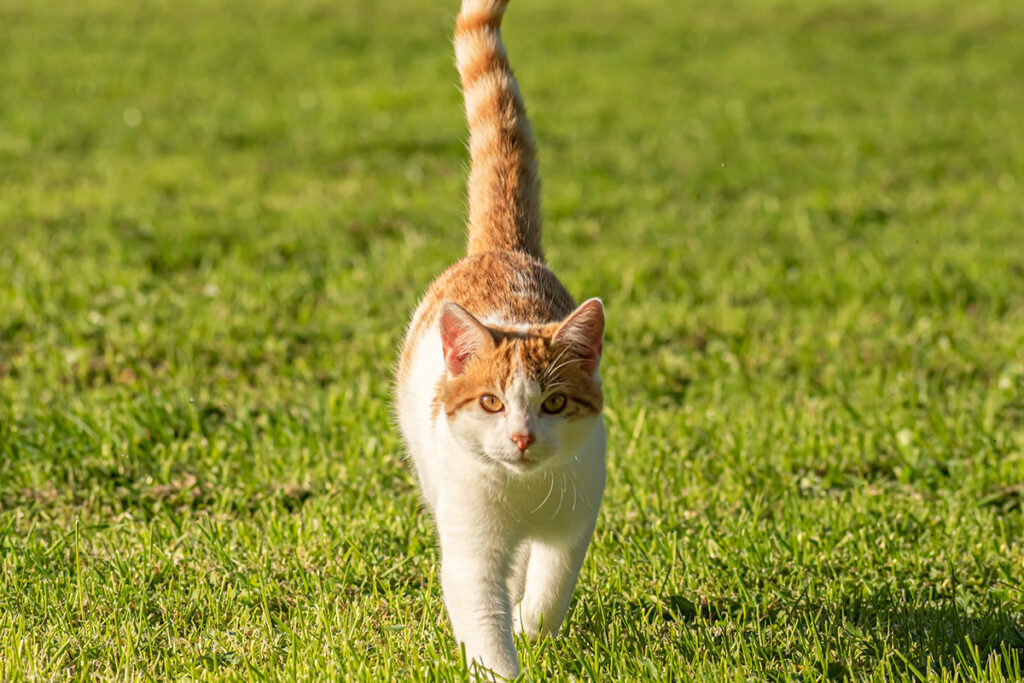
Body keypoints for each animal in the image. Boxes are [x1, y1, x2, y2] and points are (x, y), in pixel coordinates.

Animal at [393, 0, 606, 675]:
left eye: (554, 402)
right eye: (490, 401)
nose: (520, 437)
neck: (524, 492)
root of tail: (501, 249)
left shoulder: (574, 518)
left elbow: (549, 588)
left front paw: (533, 628)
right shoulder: (471, 546)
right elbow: (483, 614)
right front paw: (502, 662)